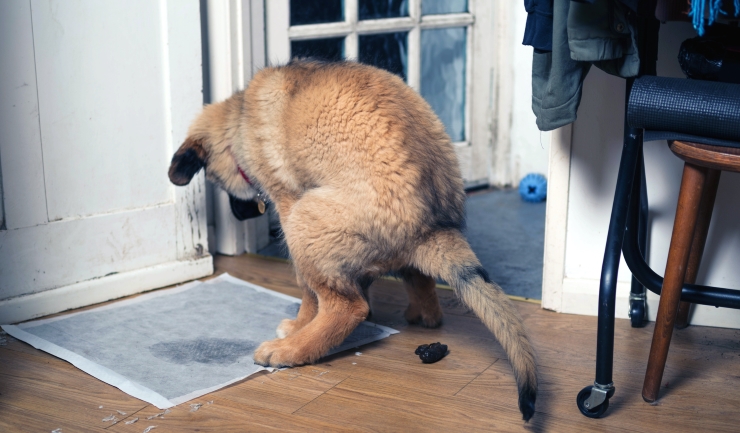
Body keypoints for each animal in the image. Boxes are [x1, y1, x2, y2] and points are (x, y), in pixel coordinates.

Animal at [168, 60, 536, 418]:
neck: (241, 116)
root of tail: (430, 227)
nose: (244, 216)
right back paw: (421, 313)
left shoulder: (287, 201)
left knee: (347, 307)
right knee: (419, 281)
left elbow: (307, 292)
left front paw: (299, 324)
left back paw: (290, 350)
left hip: (304, 218)